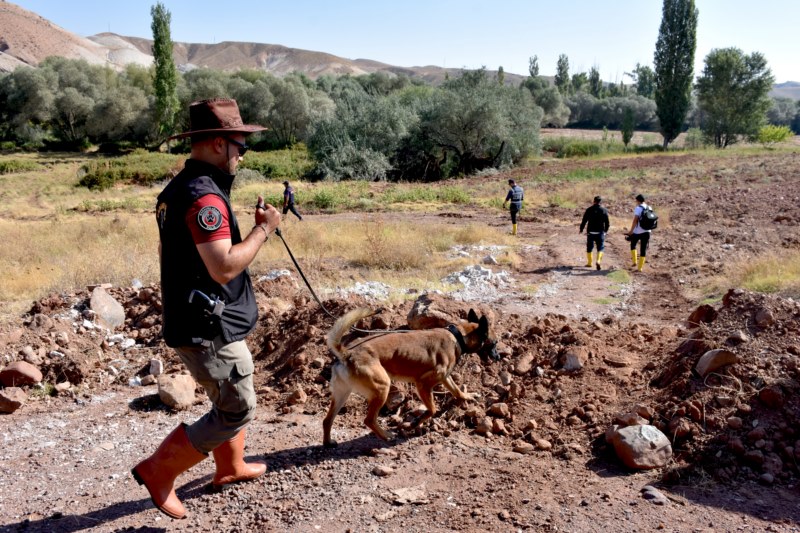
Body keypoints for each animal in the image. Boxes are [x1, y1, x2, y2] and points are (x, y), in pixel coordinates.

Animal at [322, 306, 496, 446]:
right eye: (494, 343)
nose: (498, 356)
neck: (457, 336)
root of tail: (347, 354)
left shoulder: (445, 377)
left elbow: (456, 390)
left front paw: (467, 396)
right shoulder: (423, 384)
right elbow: (432, 409)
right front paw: (415, 423)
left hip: (342, 394)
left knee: (327, 421)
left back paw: (328, 443)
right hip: (382, 387)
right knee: (369, 420)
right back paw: (386, 436)